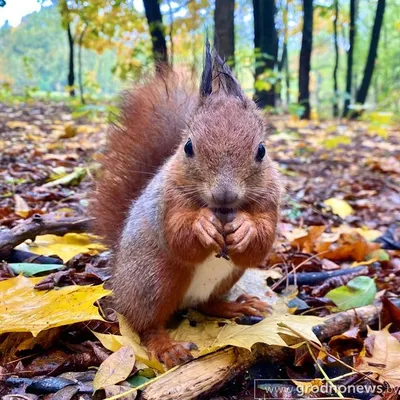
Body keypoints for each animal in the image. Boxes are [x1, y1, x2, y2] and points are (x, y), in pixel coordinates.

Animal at [92, 44, 282, 368]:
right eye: (188, 147)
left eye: (261, 150)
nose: (224, 195)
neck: (222, 212)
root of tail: (118, 276)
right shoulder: (168, 202)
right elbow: (179, 237)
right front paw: (201, 225)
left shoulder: (271, 200)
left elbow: (260, 243)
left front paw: (245, 228)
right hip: (153, 281)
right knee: (146, 325)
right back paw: (167, 347)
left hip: (225, 278)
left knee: (208, 304)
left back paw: (238, 307)